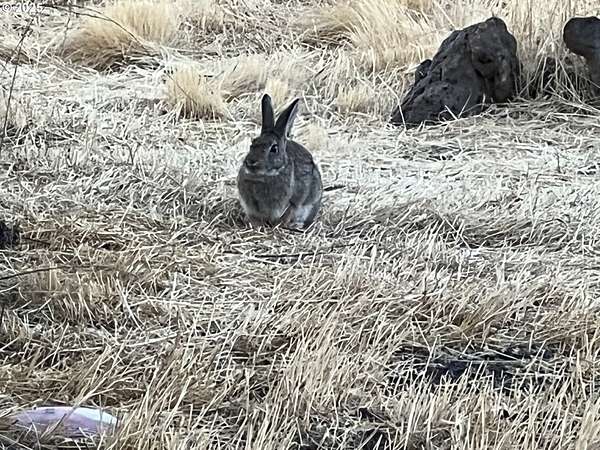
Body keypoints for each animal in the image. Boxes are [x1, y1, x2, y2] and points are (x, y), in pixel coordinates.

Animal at [237, 94, 323, 230]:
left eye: (274, 149)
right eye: (253, 143)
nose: (251, 162)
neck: (262, 176)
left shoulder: (293, 202)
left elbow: (288, 212)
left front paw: (279, 224)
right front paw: (254, 224)